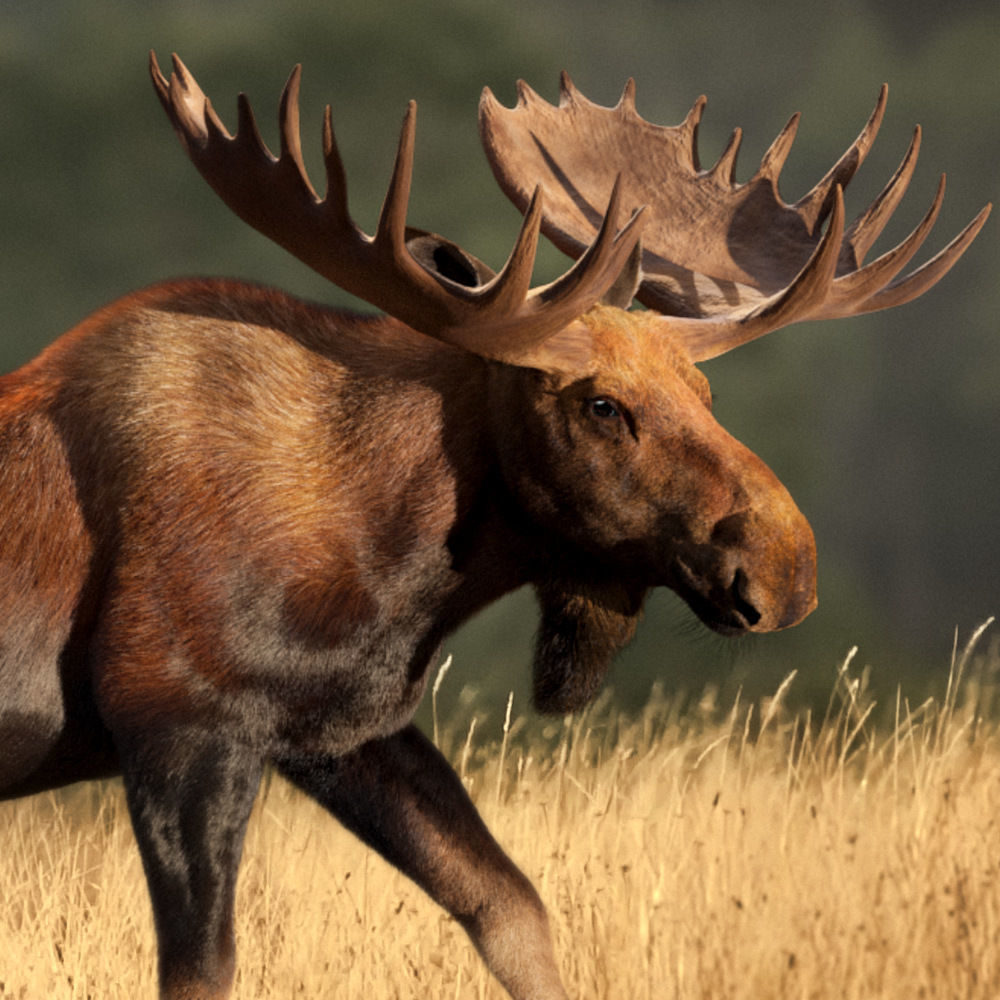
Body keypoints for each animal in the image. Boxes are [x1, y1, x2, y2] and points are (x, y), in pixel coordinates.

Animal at [0, 51, 989, 1000]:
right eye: (601, 405)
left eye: (705, 391)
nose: (787, 569)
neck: (385, 562)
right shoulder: (179, 722)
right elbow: (203, 972)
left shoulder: (342, 731)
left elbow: (511, 910)